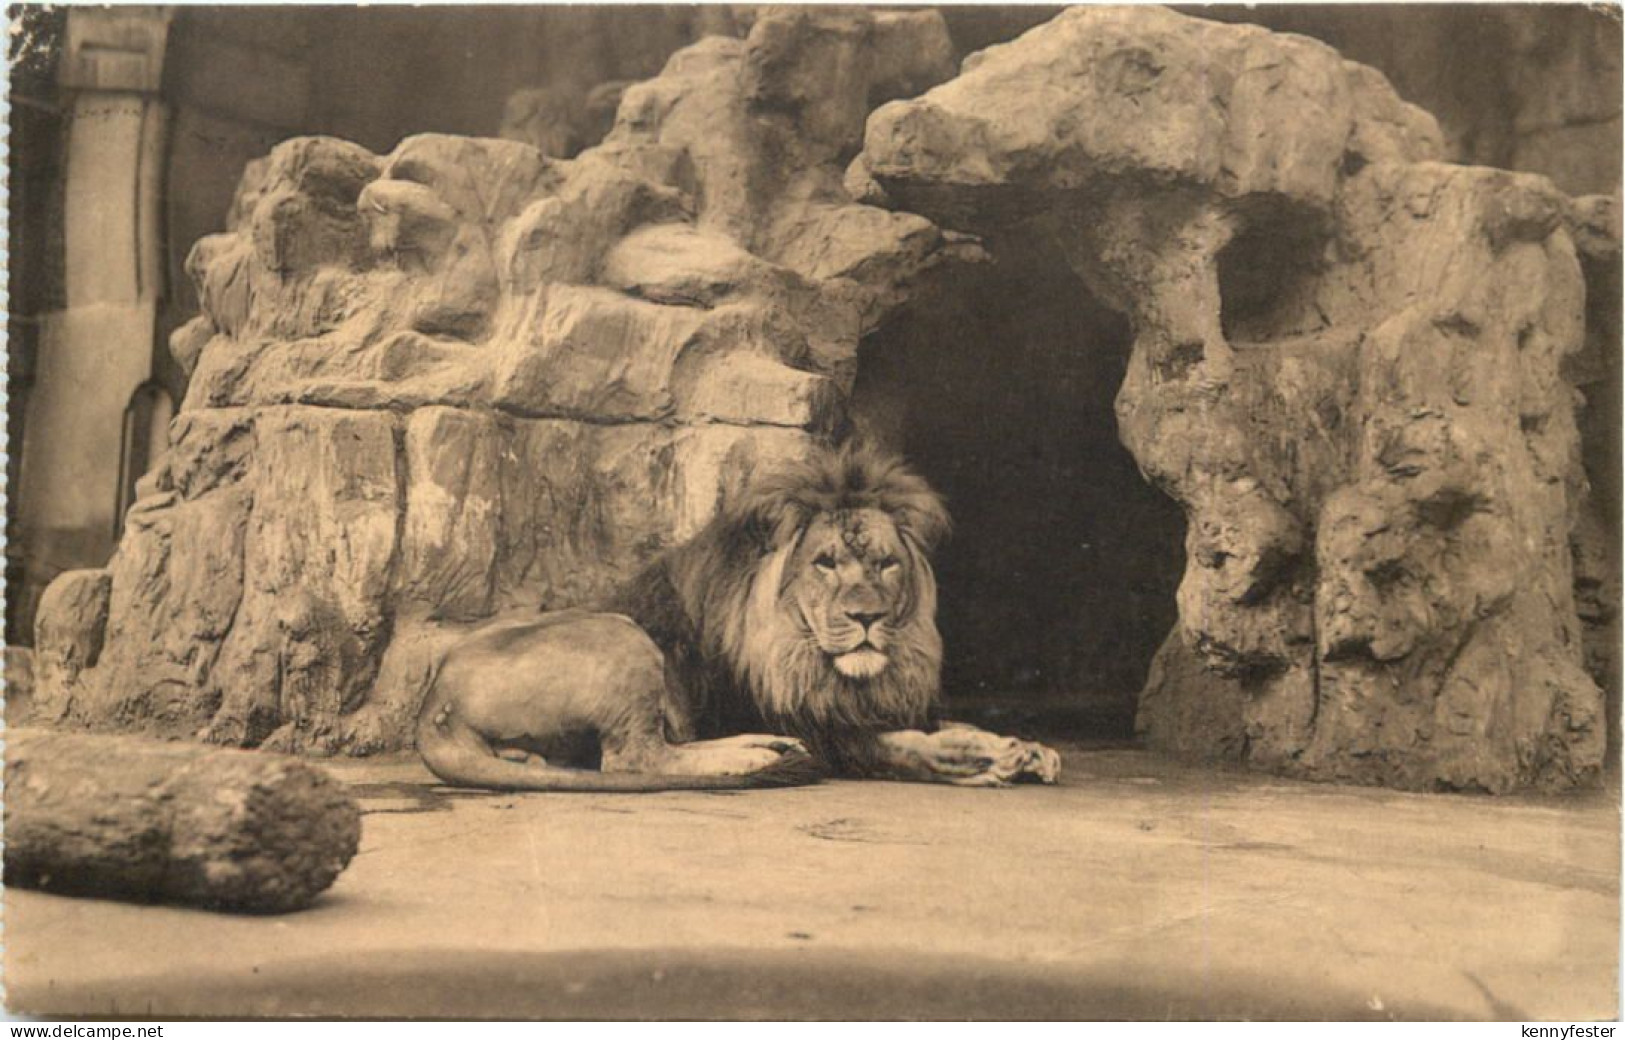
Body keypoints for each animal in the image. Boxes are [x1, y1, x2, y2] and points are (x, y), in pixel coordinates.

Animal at [416, 443, 1061, 791]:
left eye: (886, 564)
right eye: (826, 563)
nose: (867, 617)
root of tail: (432, 697)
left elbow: (944, 726)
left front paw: (1025, 747)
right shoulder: (827, 728)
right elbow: (901, 747)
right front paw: (981, 760)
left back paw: (764, 747)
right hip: (622, 636)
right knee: (636, 758)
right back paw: (752, 757)